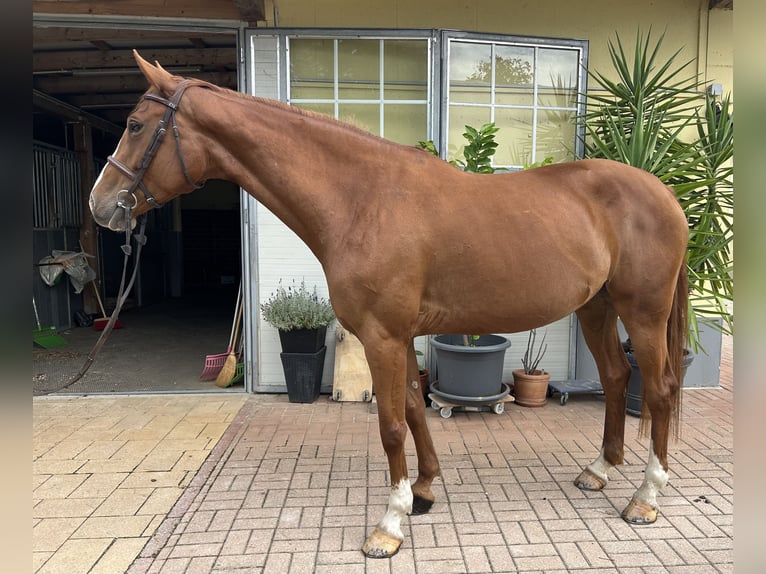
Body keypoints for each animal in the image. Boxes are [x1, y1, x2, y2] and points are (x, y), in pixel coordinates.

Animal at [89, 51, 689, 559]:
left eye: (135, 125)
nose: (100, 206)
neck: (364, 199)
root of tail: (664, 192)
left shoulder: (382, 335)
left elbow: (391, 425)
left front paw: (389, 525)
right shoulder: (399, 336)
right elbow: (415, 410)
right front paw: (422, 491)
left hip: (644, 313)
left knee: (657, 389)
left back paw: (645, 498)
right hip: (596, 308)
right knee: (615, 377)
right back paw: (599, 470)